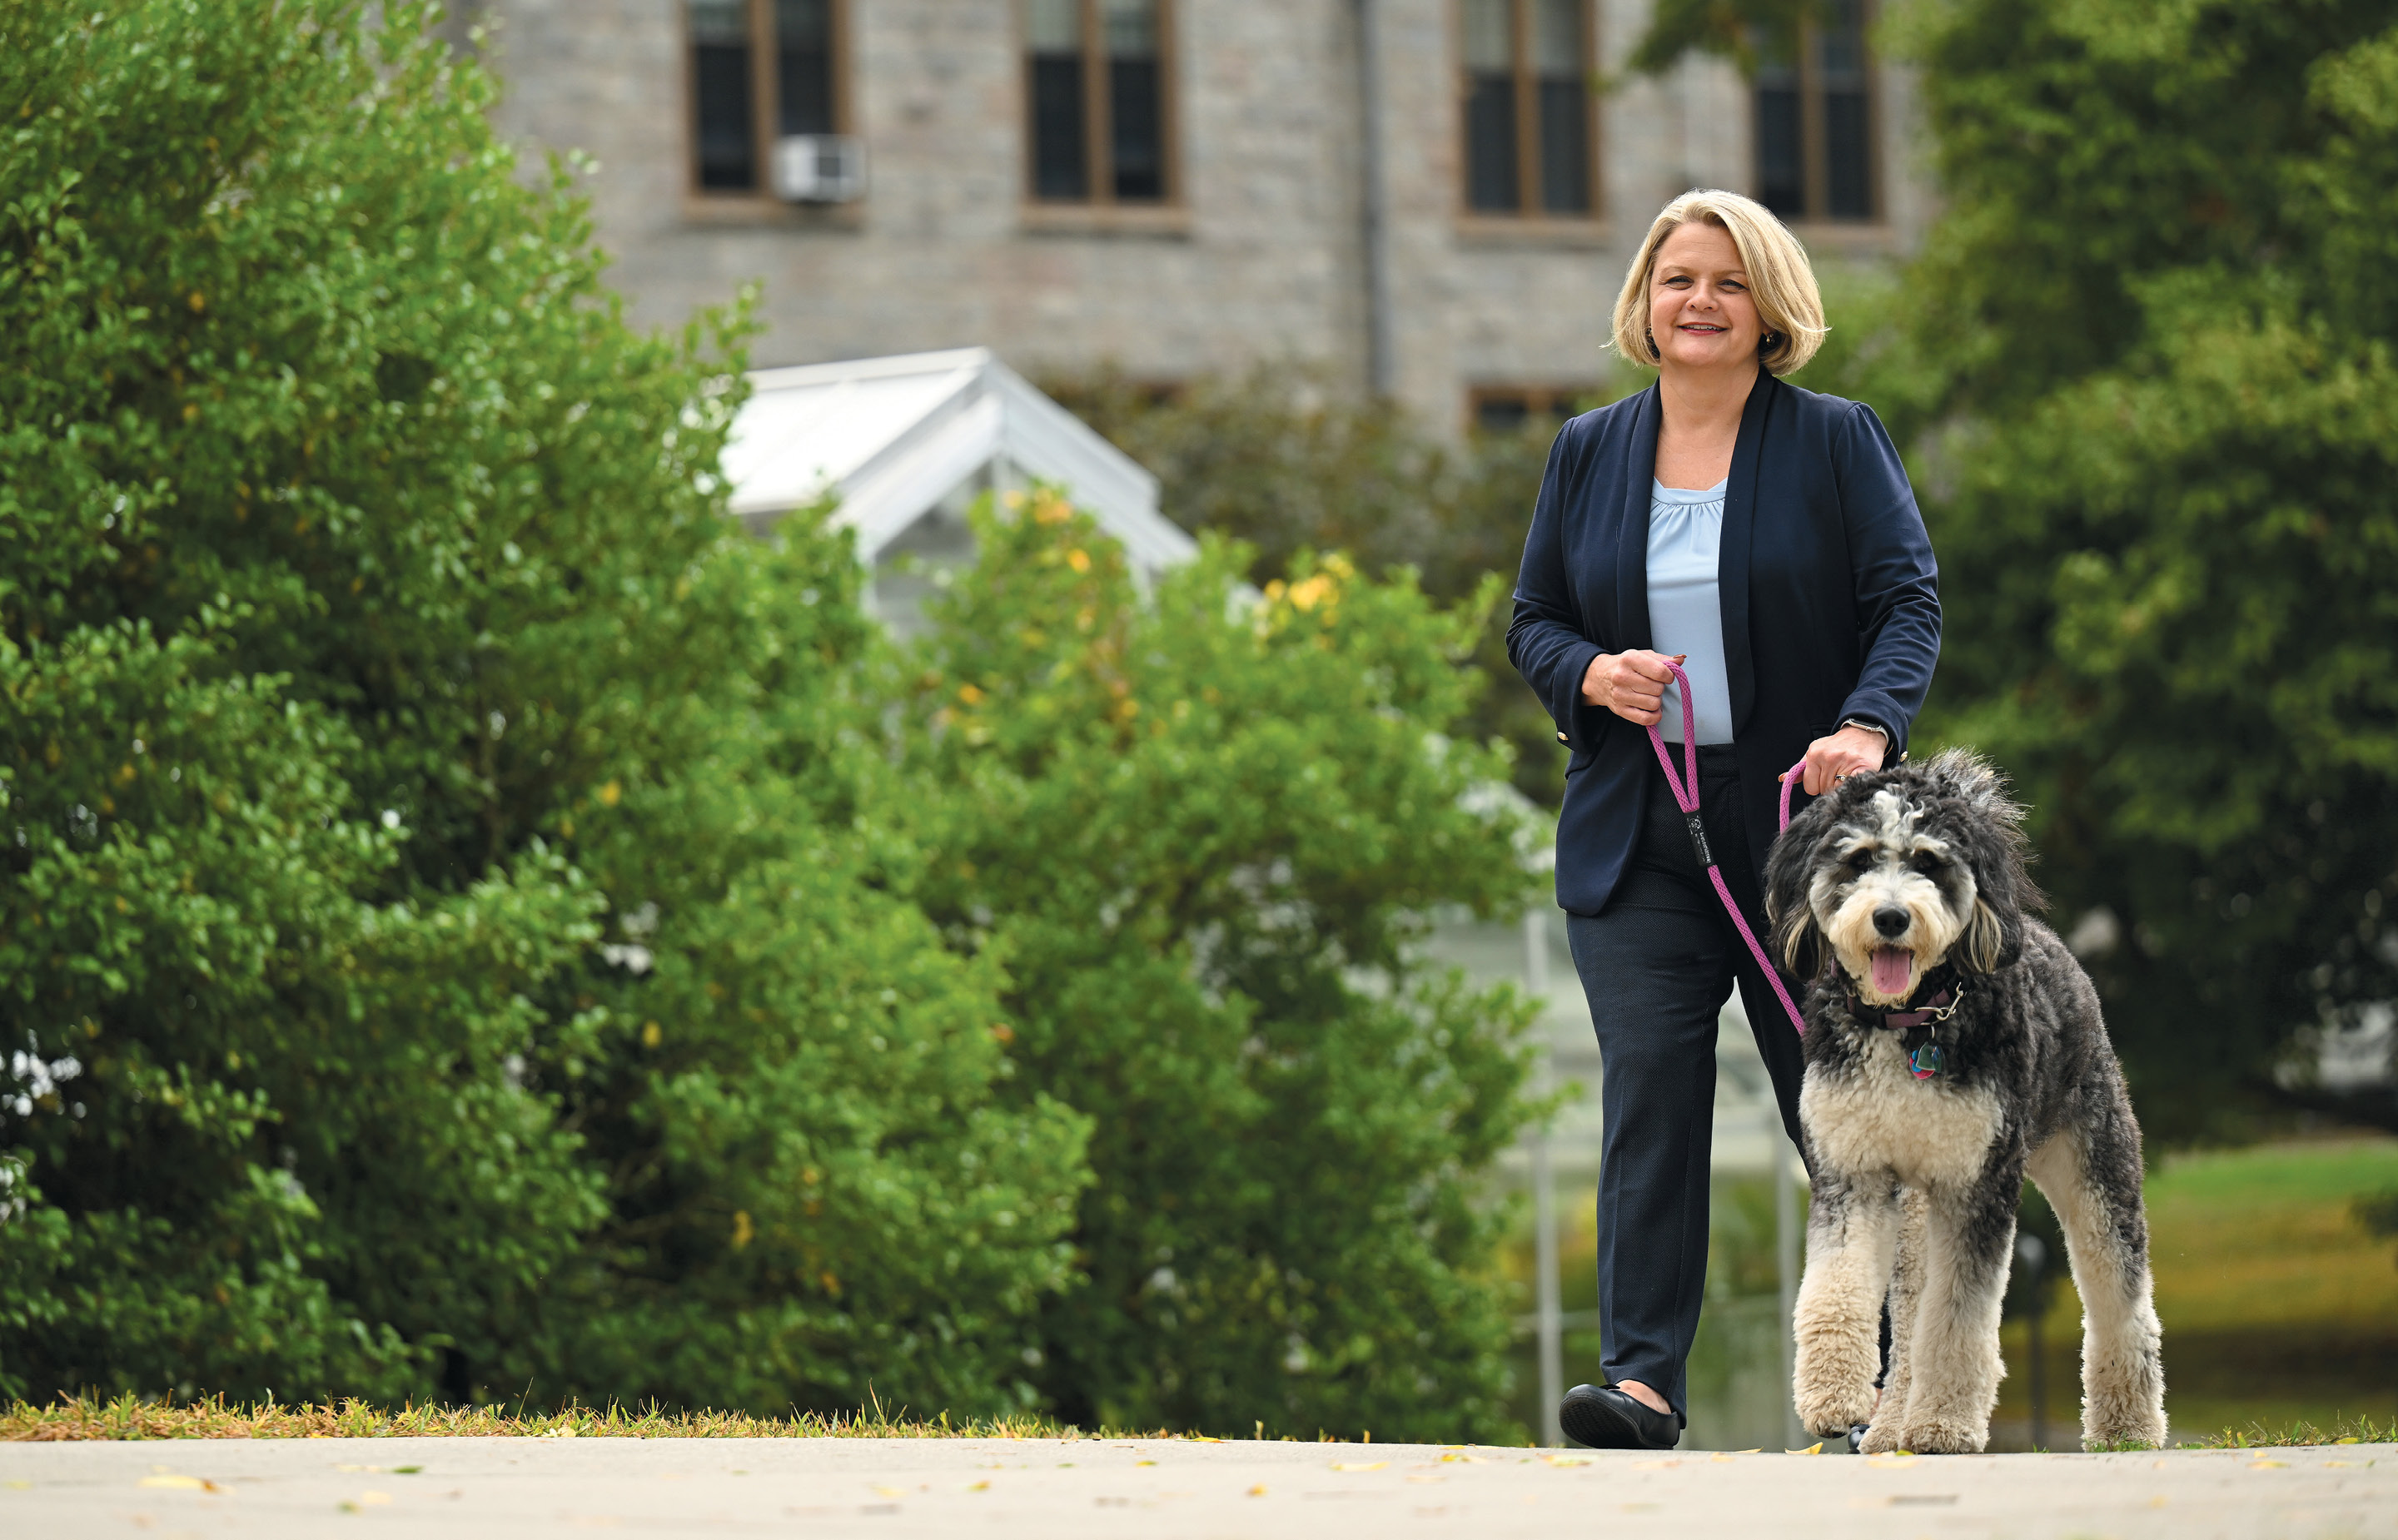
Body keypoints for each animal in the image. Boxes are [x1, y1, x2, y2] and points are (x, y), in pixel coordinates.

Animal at [1764, 748, 2177, 1448]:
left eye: (1929, 862)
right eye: (1859, 860)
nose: (1892, 918)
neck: (1908, 1023)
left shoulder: (1975, 1185)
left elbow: (1958, 1318)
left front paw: (1943, 1423)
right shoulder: (1852, 1174)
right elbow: (1836, 1286)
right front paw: (1833, 1397)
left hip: (2095, 1166)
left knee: (2119, 1300)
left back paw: (2127, 1428)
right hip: (1911, 1210)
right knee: (1907, 1320)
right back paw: (1888, 1428)